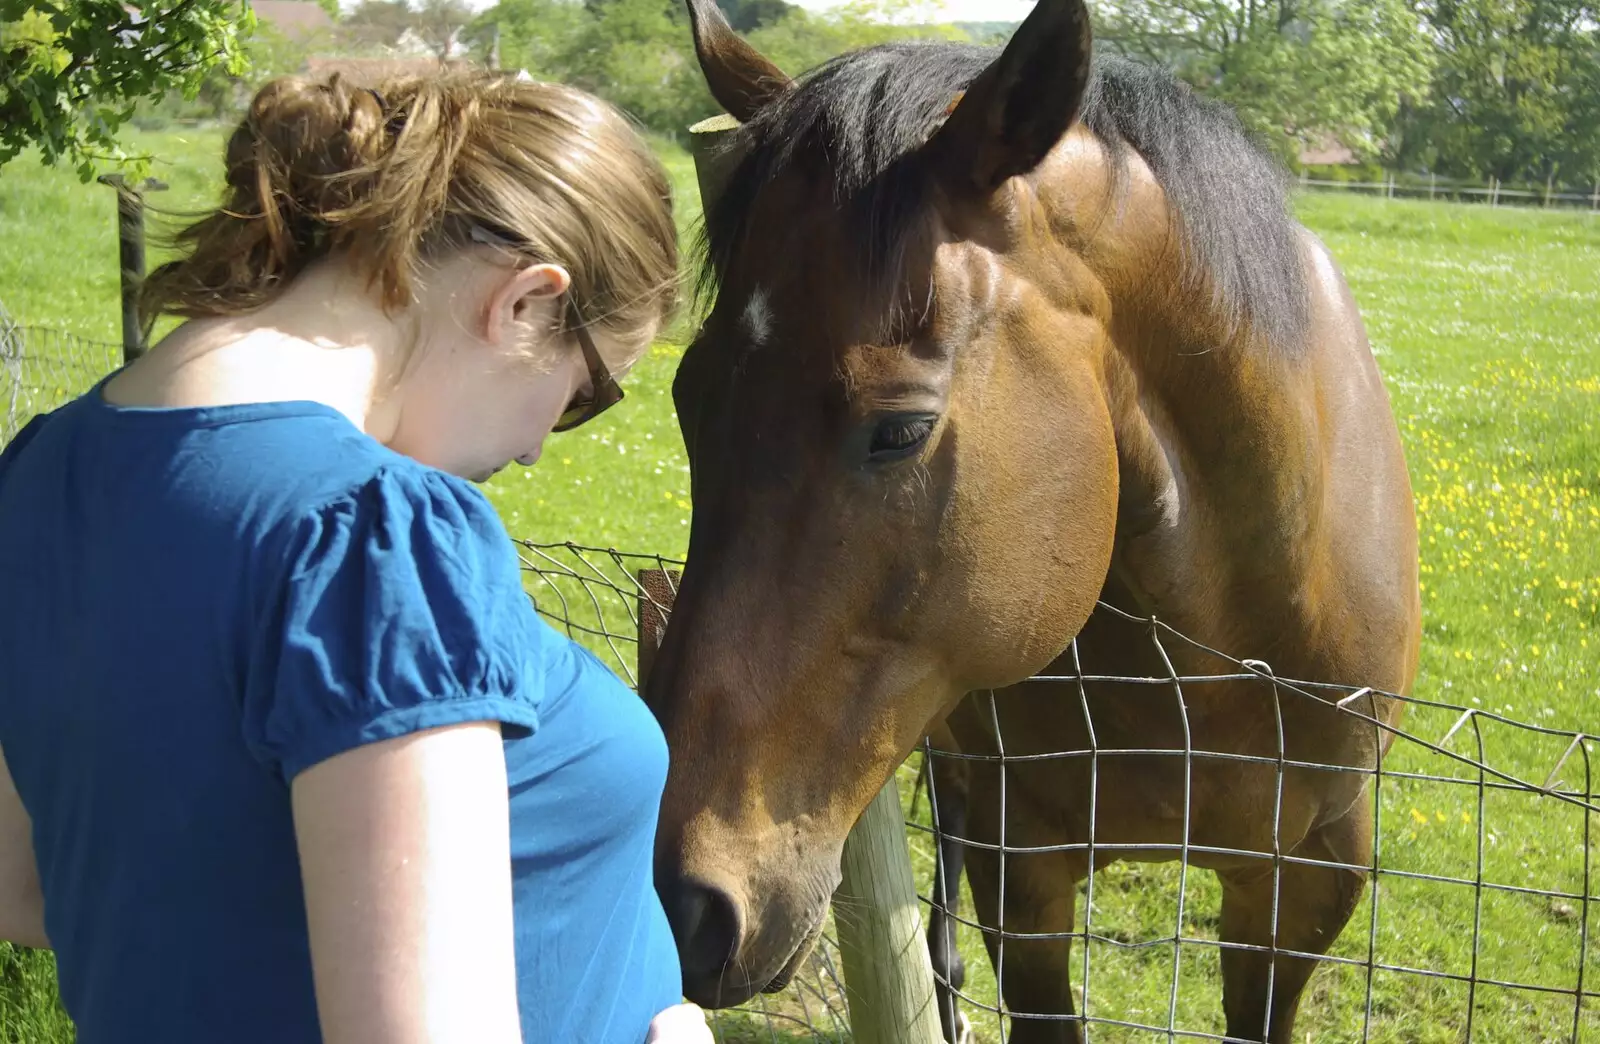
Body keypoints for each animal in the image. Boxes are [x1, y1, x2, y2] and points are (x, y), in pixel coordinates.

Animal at [643, 4, 1420, 1037]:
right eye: (691, 400)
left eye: (901, 429)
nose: (674, 904)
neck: (1217, 661)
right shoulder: (1024, 878)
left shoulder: (1312, 881)